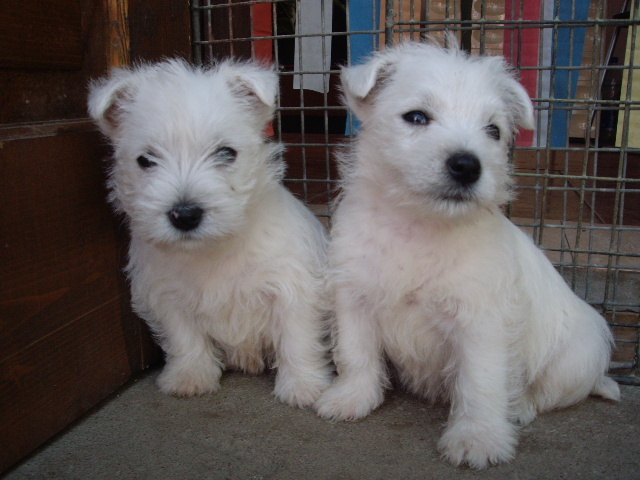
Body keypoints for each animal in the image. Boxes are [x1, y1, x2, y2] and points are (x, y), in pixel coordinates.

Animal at [88, 58, 332, 406]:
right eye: (145, 160)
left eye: (227, 153)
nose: (185, 215)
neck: (212, 249)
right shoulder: (166, 293)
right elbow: (183, 337)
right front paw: (190, 377)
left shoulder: (292, 286)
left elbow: (297, 338)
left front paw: (304, 386)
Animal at [316, 41, 620, 468]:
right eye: (416, 117)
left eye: (493, 130)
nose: (466, 165)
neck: (419, 225)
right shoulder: (354, 296)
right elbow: (356, 353)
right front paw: (351, 398)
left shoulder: (482, 321)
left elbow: (481, 382)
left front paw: (478, 439)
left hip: (578, 356)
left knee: (546, 393)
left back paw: (518, 408)